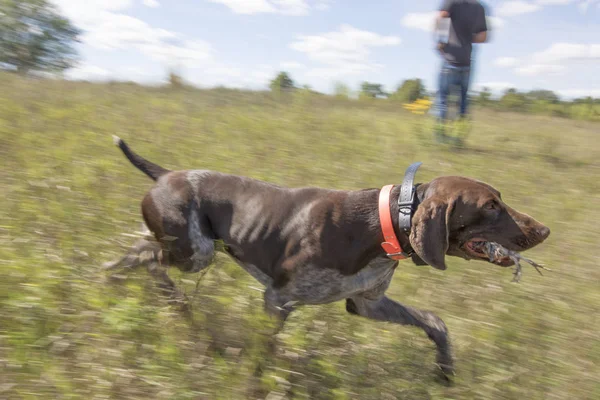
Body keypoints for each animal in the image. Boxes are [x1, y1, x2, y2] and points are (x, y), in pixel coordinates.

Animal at [106, 138, 548, 376]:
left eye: (499, 199)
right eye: (490, 206)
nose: (544, 230)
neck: (384, 222)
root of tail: (165, 174)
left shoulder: (367, 304)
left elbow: (436, 324)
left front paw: (445, 371)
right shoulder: (279, 300)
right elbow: (261, 357)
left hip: (191, 249)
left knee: (140, 249)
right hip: (196, 252)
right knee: (145, 255)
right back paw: (155, 293)